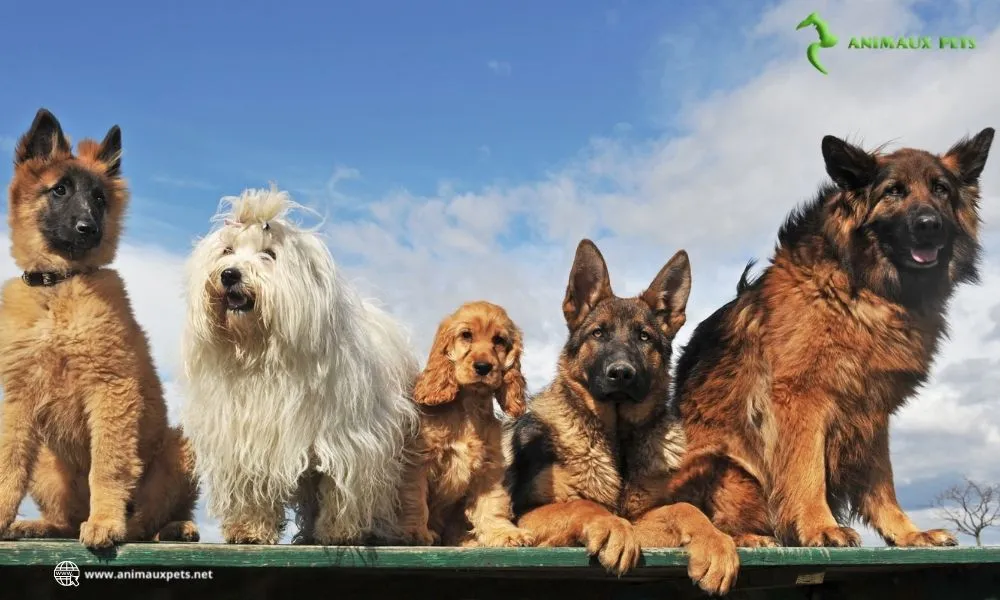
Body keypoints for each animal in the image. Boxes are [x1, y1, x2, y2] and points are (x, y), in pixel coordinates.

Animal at [0, 108, 200, 548]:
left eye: (99, 199)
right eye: (59, 190)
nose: (88, 229)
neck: (59, 286)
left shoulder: (111, 388)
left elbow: (108, 465)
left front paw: (106, 521)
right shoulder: (18, 400)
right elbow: (8, 464)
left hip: (177, 450)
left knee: (150, 519)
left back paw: (171, 527)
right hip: (47, 463)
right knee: (67, 519)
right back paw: (42, 525)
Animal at [180, 185, 418, 548]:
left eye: (269, 255)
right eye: (227, 250)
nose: (230, 274)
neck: (261, 351)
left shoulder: (347, 441)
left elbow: (339, 486)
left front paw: (338, 532)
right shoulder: (245, 438)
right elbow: (252, 486)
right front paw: (249, 529)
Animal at [396, 302, 536, 548]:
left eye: (499, 340)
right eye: (466, 335)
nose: (483, 367)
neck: (469, 407)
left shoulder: (489, 466)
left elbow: (492, 504)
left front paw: (504, 533)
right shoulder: (418, 460)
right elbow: (415, 498)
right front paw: (415, 532)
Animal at [512, 239, 740, 596]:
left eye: (644, 337)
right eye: (598, 334)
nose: (621, 373)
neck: (617, 442)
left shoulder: (644, 520)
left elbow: (685, 508)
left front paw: (716, 543)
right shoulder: (525, 516)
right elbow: (581, 504)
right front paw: (611, 526)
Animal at [668, 127, 996, 548]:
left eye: (940, 189)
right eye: (893, 191)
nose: (929, 224)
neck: (863, 288)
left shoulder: (872, 410)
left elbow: (882, 482)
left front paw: (906, 533)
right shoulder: (802, 397)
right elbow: (807, 472)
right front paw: (819, 527)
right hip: (723, 466)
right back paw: (750, 537)